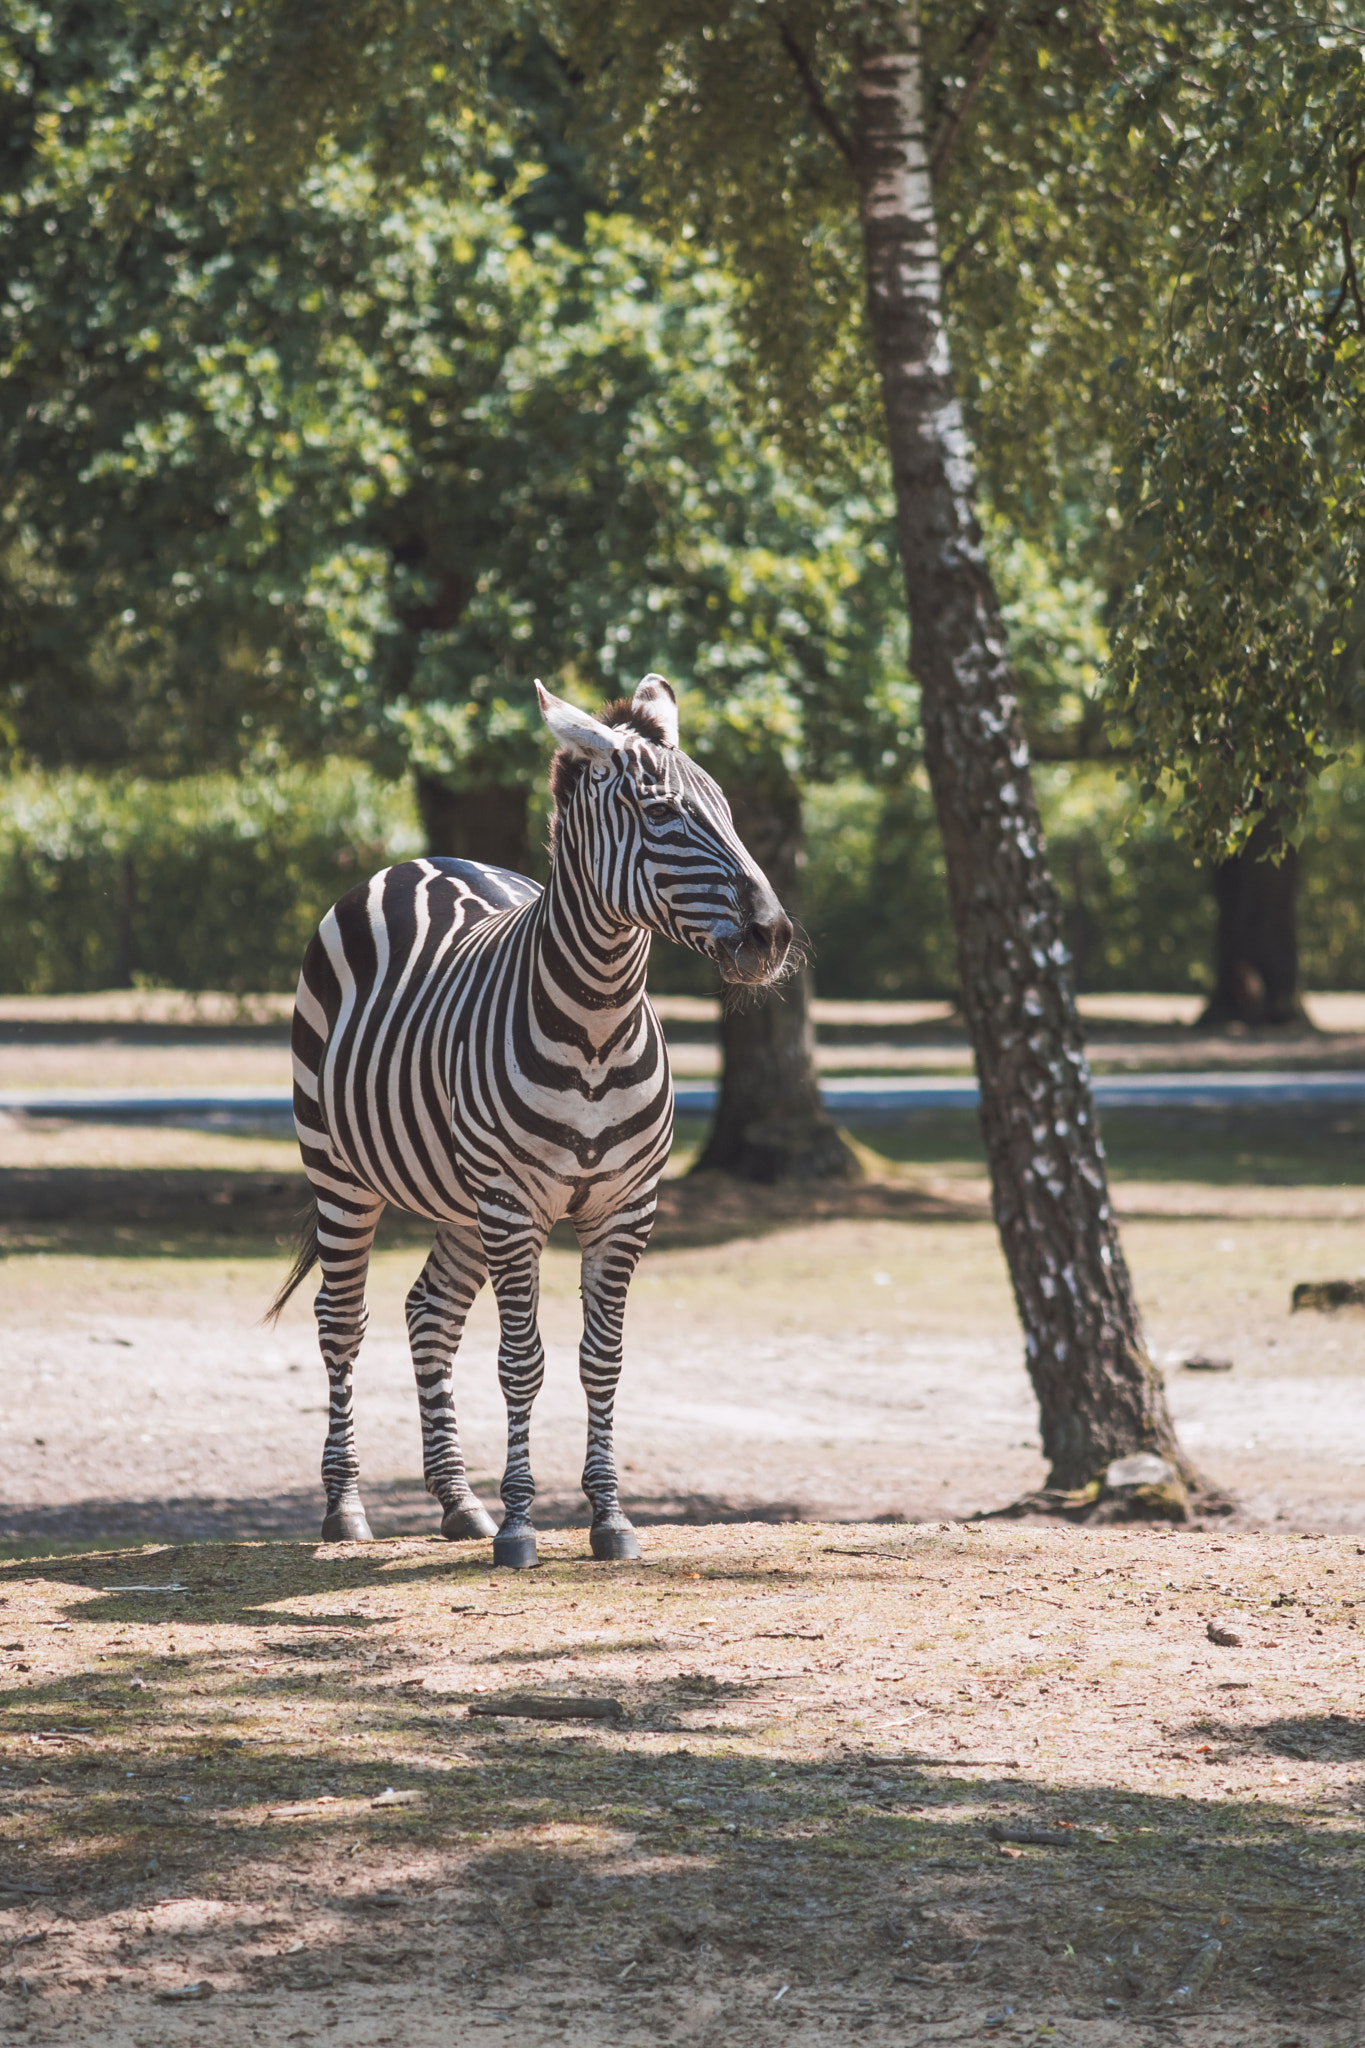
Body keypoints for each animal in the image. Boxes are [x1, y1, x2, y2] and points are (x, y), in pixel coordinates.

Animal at [268, 674, 792, 1568]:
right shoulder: (516, 1207)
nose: (772, 935)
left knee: (429, 1315)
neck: (598, 1029)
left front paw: (608, 1515)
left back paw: (458, 1502)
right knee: (342, 1322)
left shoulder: (625, 1208)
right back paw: (347, 1509)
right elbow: (522, 1362)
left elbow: (601, 1360)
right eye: (659, 812)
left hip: (460, 1199)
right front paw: (521, 1524)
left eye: (725, 808)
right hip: (342, 1173)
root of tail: (419, 862)